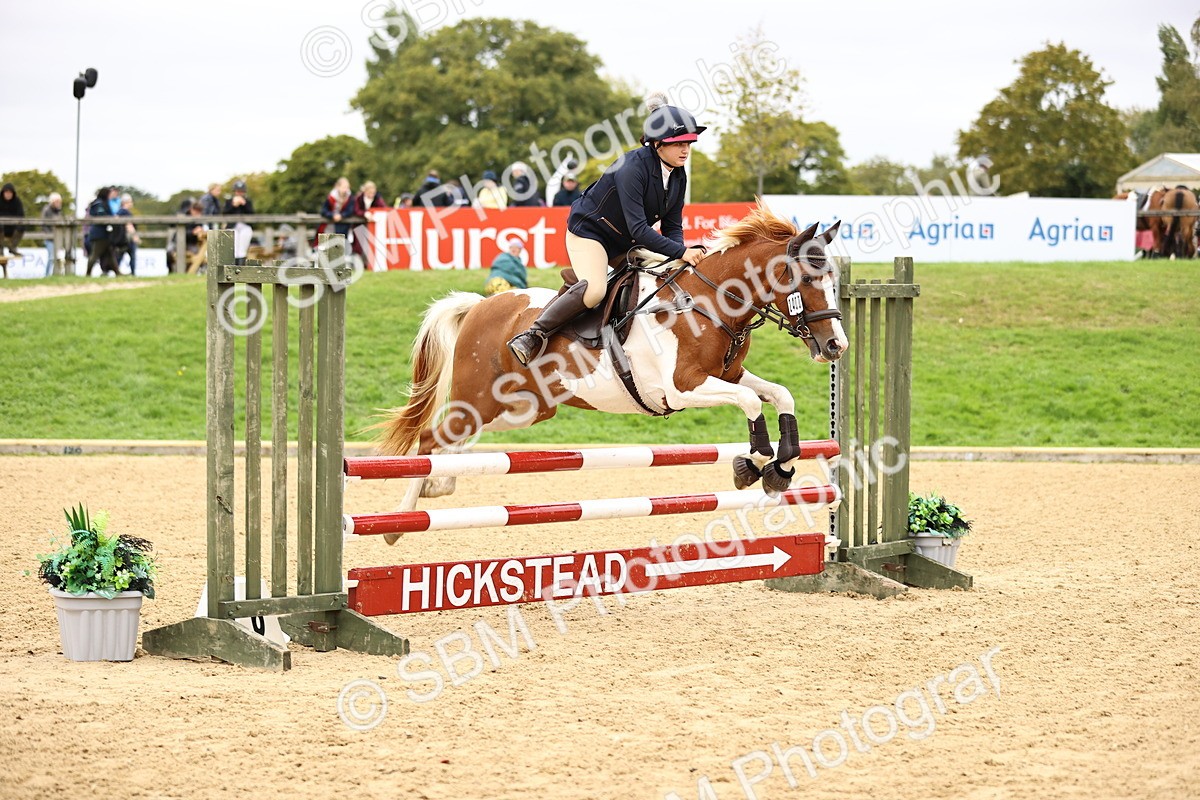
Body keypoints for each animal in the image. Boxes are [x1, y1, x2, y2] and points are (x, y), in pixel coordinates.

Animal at [374, 202, 848, 543]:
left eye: (834, 279)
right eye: (808, 278)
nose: (836, 346)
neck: (708, 302)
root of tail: (480, 304)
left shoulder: (729, 377)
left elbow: (779, 394)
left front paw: (782, 466)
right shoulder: (682, 388)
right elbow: (752, 403)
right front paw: (753, 464)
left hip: (523, 408)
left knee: (454, 440)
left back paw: (440, 486)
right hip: (479, 397)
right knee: (432, 438)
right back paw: (400, 522)